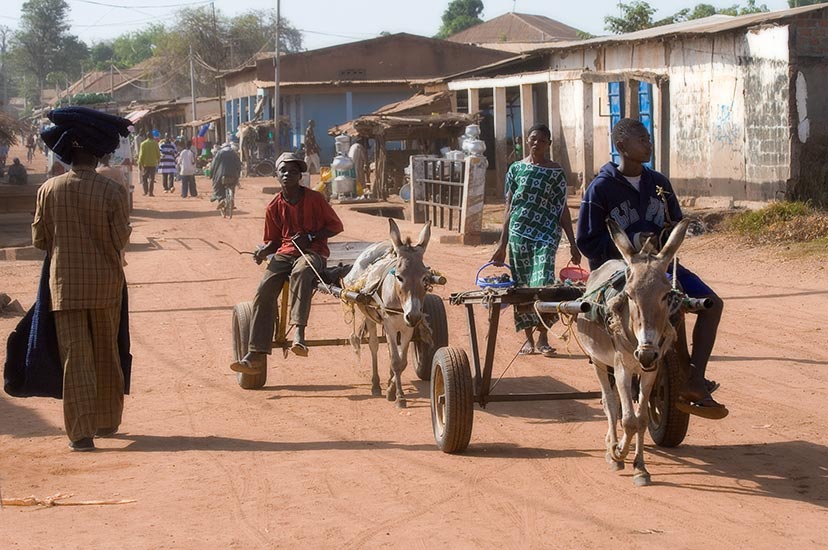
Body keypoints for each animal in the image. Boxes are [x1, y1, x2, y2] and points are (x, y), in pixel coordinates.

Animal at [343, 218, 433, 408]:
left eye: (425, 277)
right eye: (399, 277)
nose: (413, 316)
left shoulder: (408, 328)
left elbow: (402, 361)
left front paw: (392, 390)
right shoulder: (390, 325)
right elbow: (395, 360)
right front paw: (398, 396)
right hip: (369, 316)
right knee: (374, 346)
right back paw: (376, 385)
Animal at [576, 218, 690, 486]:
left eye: (667, 295)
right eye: (628, 294)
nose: (646, 354)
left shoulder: (651, 371)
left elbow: (641, 419)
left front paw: (640, 467)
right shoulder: (622, 369)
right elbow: (628, 419)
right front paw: (618, 452)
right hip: (599, 361)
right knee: (610, 402)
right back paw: (612, 448)